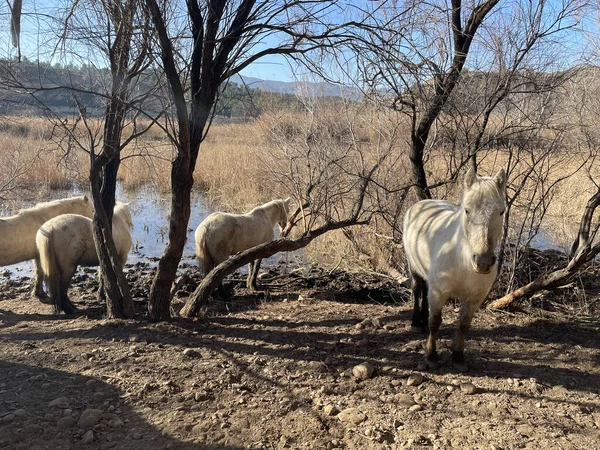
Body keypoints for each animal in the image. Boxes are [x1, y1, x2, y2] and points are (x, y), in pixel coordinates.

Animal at [404, 169, 506, 372]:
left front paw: (458, 357)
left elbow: (464, 325)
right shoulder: (439, 293)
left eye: (501, 211)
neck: (462, 262)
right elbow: (435, 322)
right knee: (418, 289)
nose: (483, 262)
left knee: (425, 290)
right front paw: (431, 356)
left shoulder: (474, 298)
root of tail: (420, 204)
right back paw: (416, 322)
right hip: (414, 267)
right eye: (467, 210)